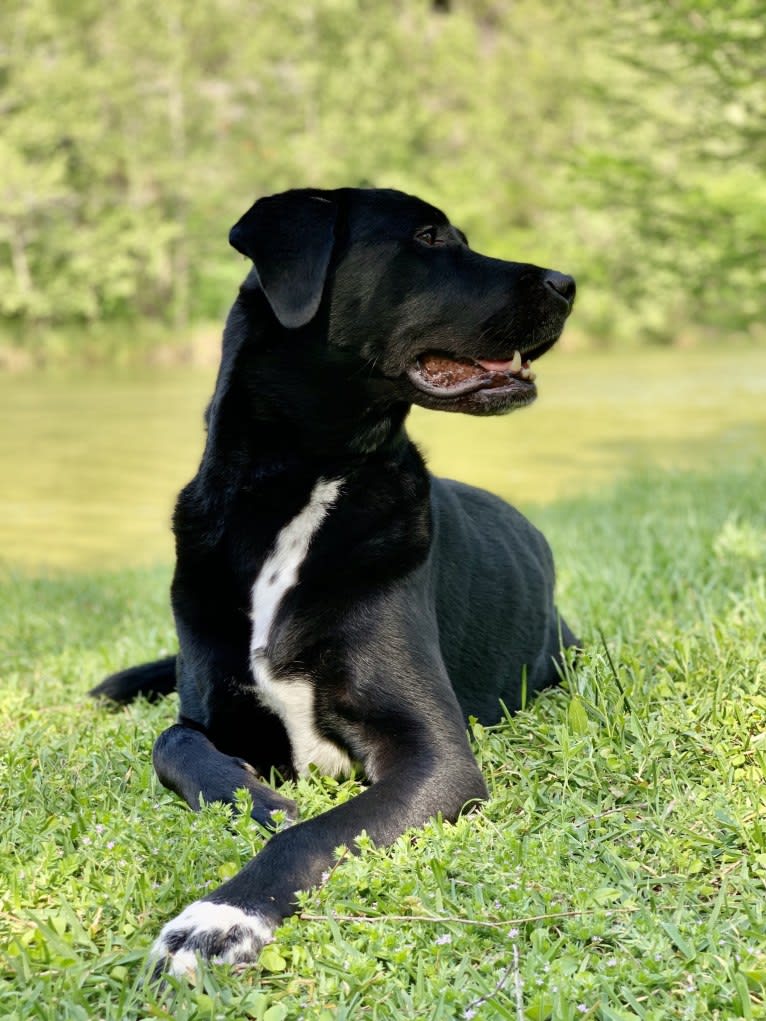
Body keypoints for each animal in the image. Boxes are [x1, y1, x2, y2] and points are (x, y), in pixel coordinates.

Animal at [89, 187, 580, 976]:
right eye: (428, 236)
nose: (568, 283)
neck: (305, 484)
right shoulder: (208, 714)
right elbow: (173, 742)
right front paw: (258, 800)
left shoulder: (436, 756)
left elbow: (311, 832)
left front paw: (219, 918)